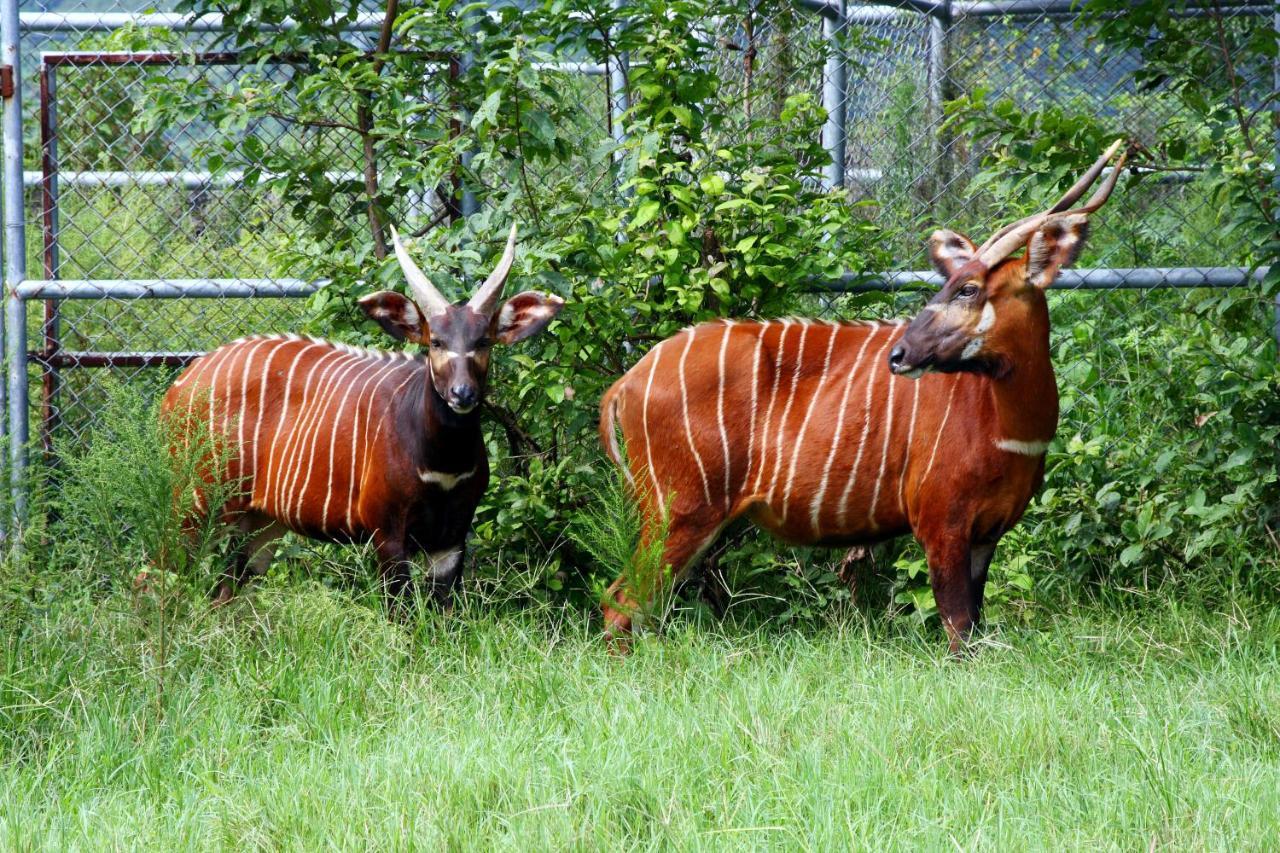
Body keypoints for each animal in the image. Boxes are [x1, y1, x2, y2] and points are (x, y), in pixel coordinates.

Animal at [162, 222, 563, 601]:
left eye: (483, 342)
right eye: (435, 341)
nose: (462, 393)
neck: (441, 465)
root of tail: (182, 383)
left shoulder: (451, 540)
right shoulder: (387, 534)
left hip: (259, 521)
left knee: (225, 592)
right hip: (195, 504)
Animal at [599, 139, 1131, 650]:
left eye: (968, 289)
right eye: (955, 283)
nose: (900, 355)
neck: (1007, 427)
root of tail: (626, 382)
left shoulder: (987, 535)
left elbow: (974, 626)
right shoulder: (941, 525)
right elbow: (959, 631)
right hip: (679, 511)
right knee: (622, 600)